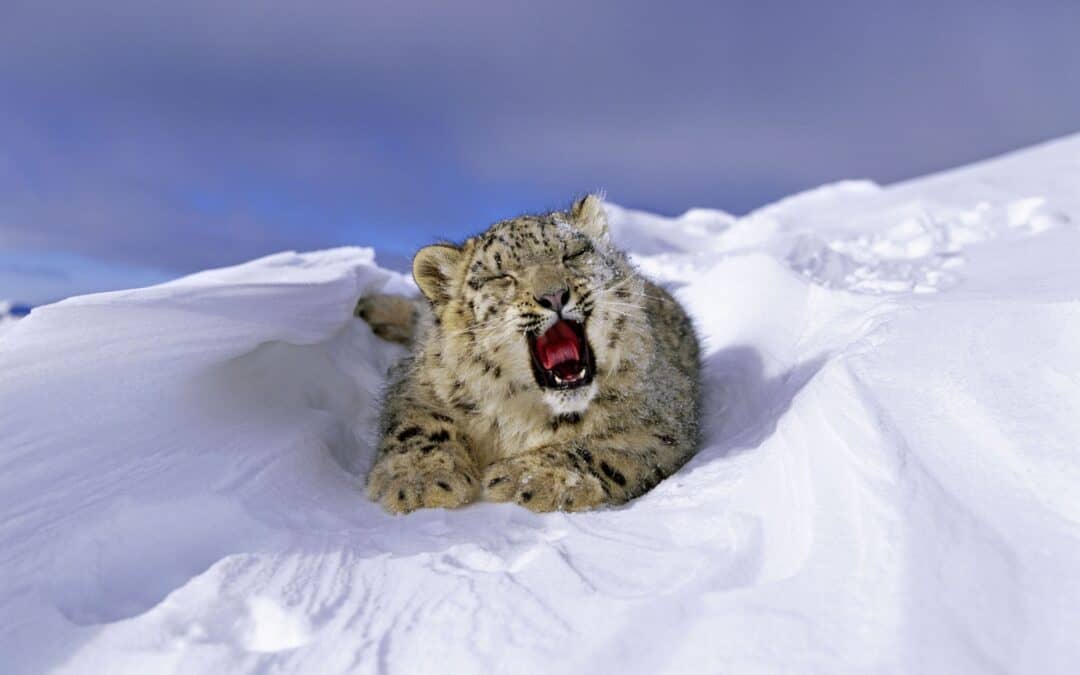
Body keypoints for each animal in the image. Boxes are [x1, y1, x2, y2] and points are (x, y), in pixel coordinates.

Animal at [358, 194, 704, 509]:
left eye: (573, 254)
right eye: (502, 276)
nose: (553, 295)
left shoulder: (658, 425)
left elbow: (600, 450)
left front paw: (526, 477)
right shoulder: (418, 387)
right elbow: (418, 426)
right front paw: (419, 481)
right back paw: (369, 306)